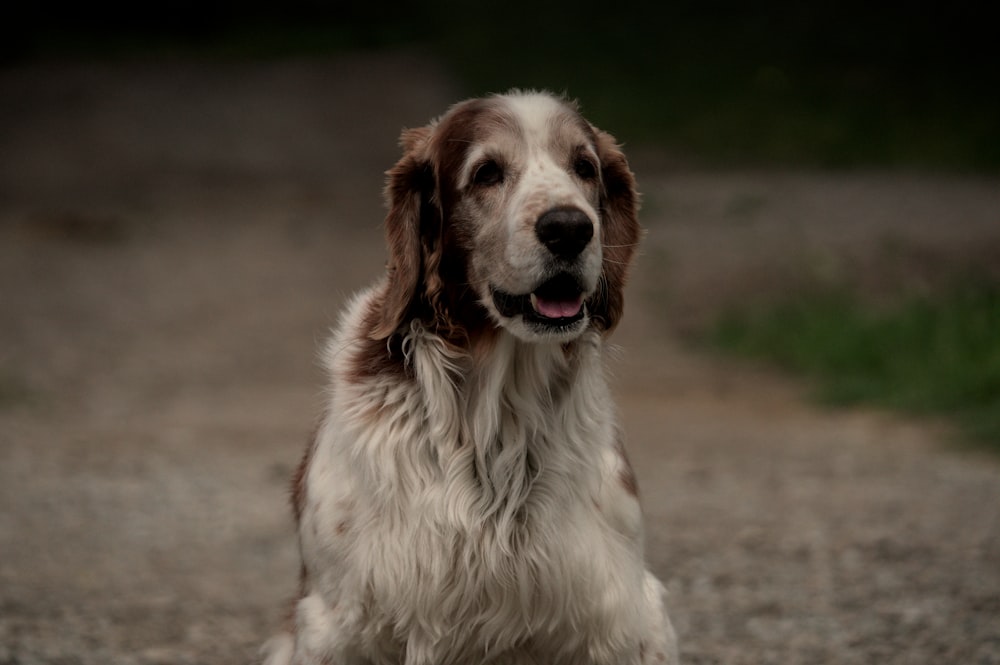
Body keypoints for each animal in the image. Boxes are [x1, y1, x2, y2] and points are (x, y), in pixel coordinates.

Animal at [262, 89, 676, 664]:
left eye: (584, 167)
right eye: (486, 173)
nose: (570, 228)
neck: (496, 414)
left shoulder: (624, 617)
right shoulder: (336, 621)